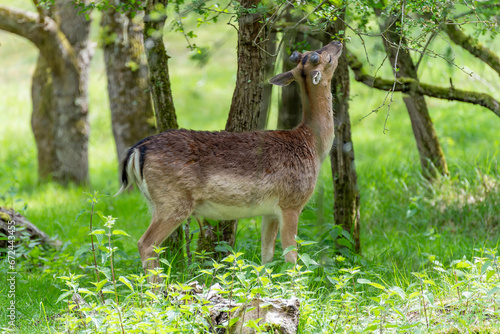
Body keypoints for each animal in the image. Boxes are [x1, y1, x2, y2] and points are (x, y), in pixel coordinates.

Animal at [117, 40, 344, 272]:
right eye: (327, 58)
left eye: (310, 52)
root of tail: (138, 149)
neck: (312, 145)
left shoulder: (270, 212)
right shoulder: (291, 202)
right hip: (173, 202)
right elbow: (292, 257)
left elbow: (266, 256)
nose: (337, 42)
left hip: (154, 202)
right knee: (146, 243)